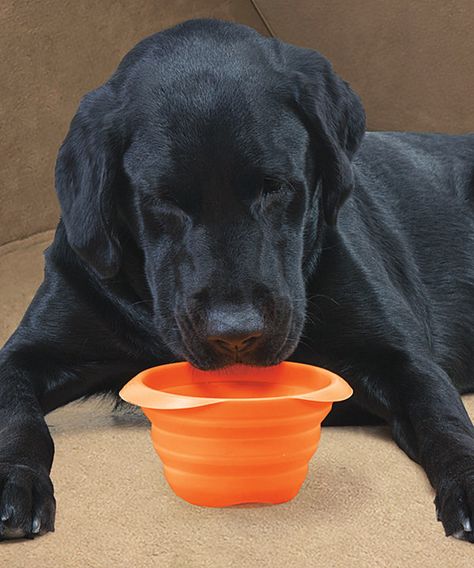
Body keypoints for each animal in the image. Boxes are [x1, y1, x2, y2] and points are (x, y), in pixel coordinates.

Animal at [0, 17, 474, 540]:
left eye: (275, 187)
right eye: (163, 200)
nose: (235, 333)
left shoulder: (400, 356)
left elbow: (441, 416)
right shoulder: (29, 350)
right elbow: (14, 413)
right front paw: (14, 480)